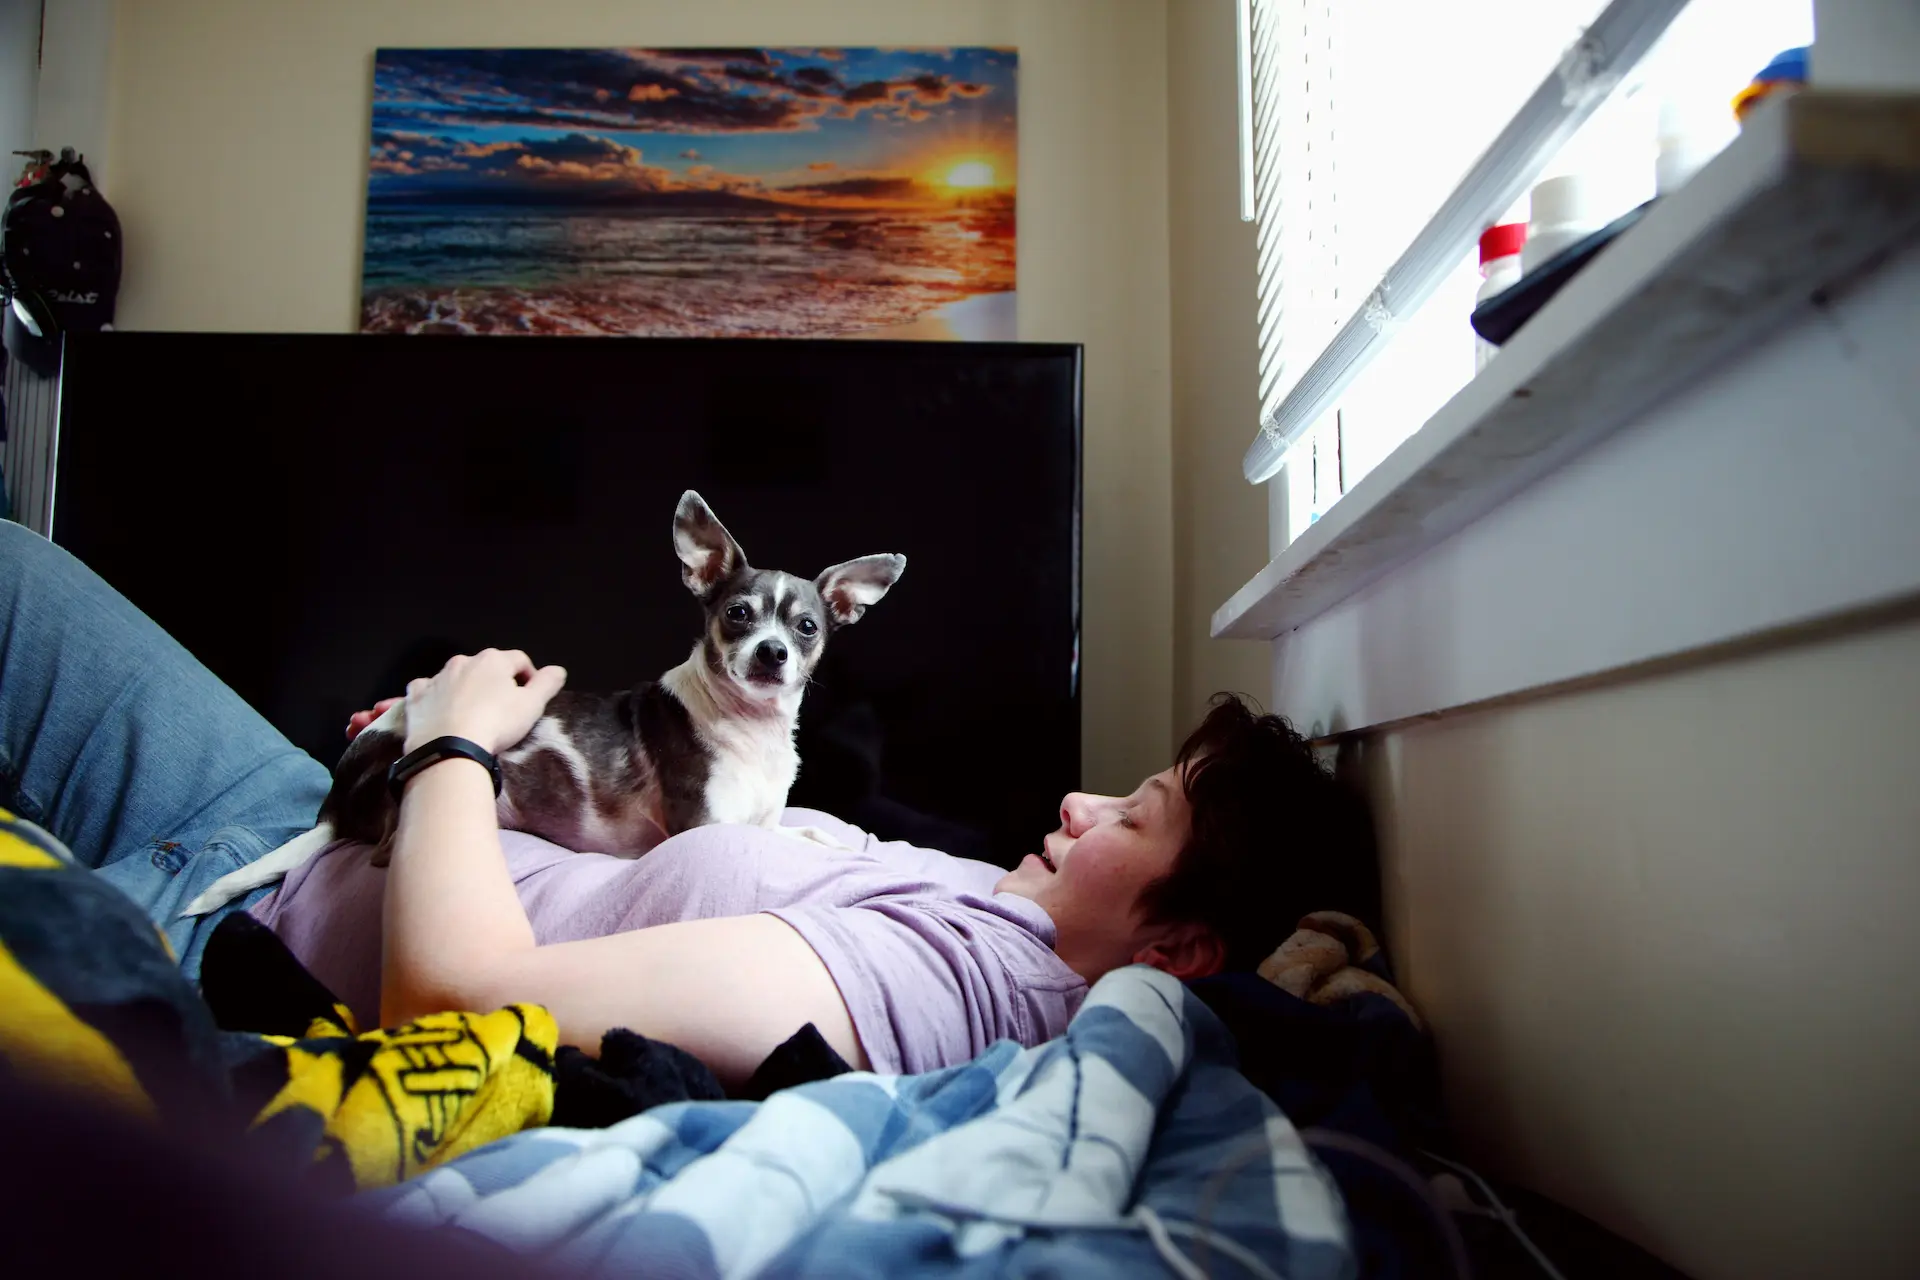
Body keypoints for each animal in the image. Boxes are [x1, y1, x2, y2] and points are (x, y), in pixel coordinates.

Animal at [180, 485, 898, 917]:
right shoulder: (704, 829)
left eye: (806, 628)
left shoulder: (763, 820)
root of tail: (335, 801)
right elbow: (793, 847)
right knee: (383, 852)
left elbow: (803, 832)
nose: (771, 653)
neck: (749, 729)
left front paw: (844, 846)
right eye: (738, 615)